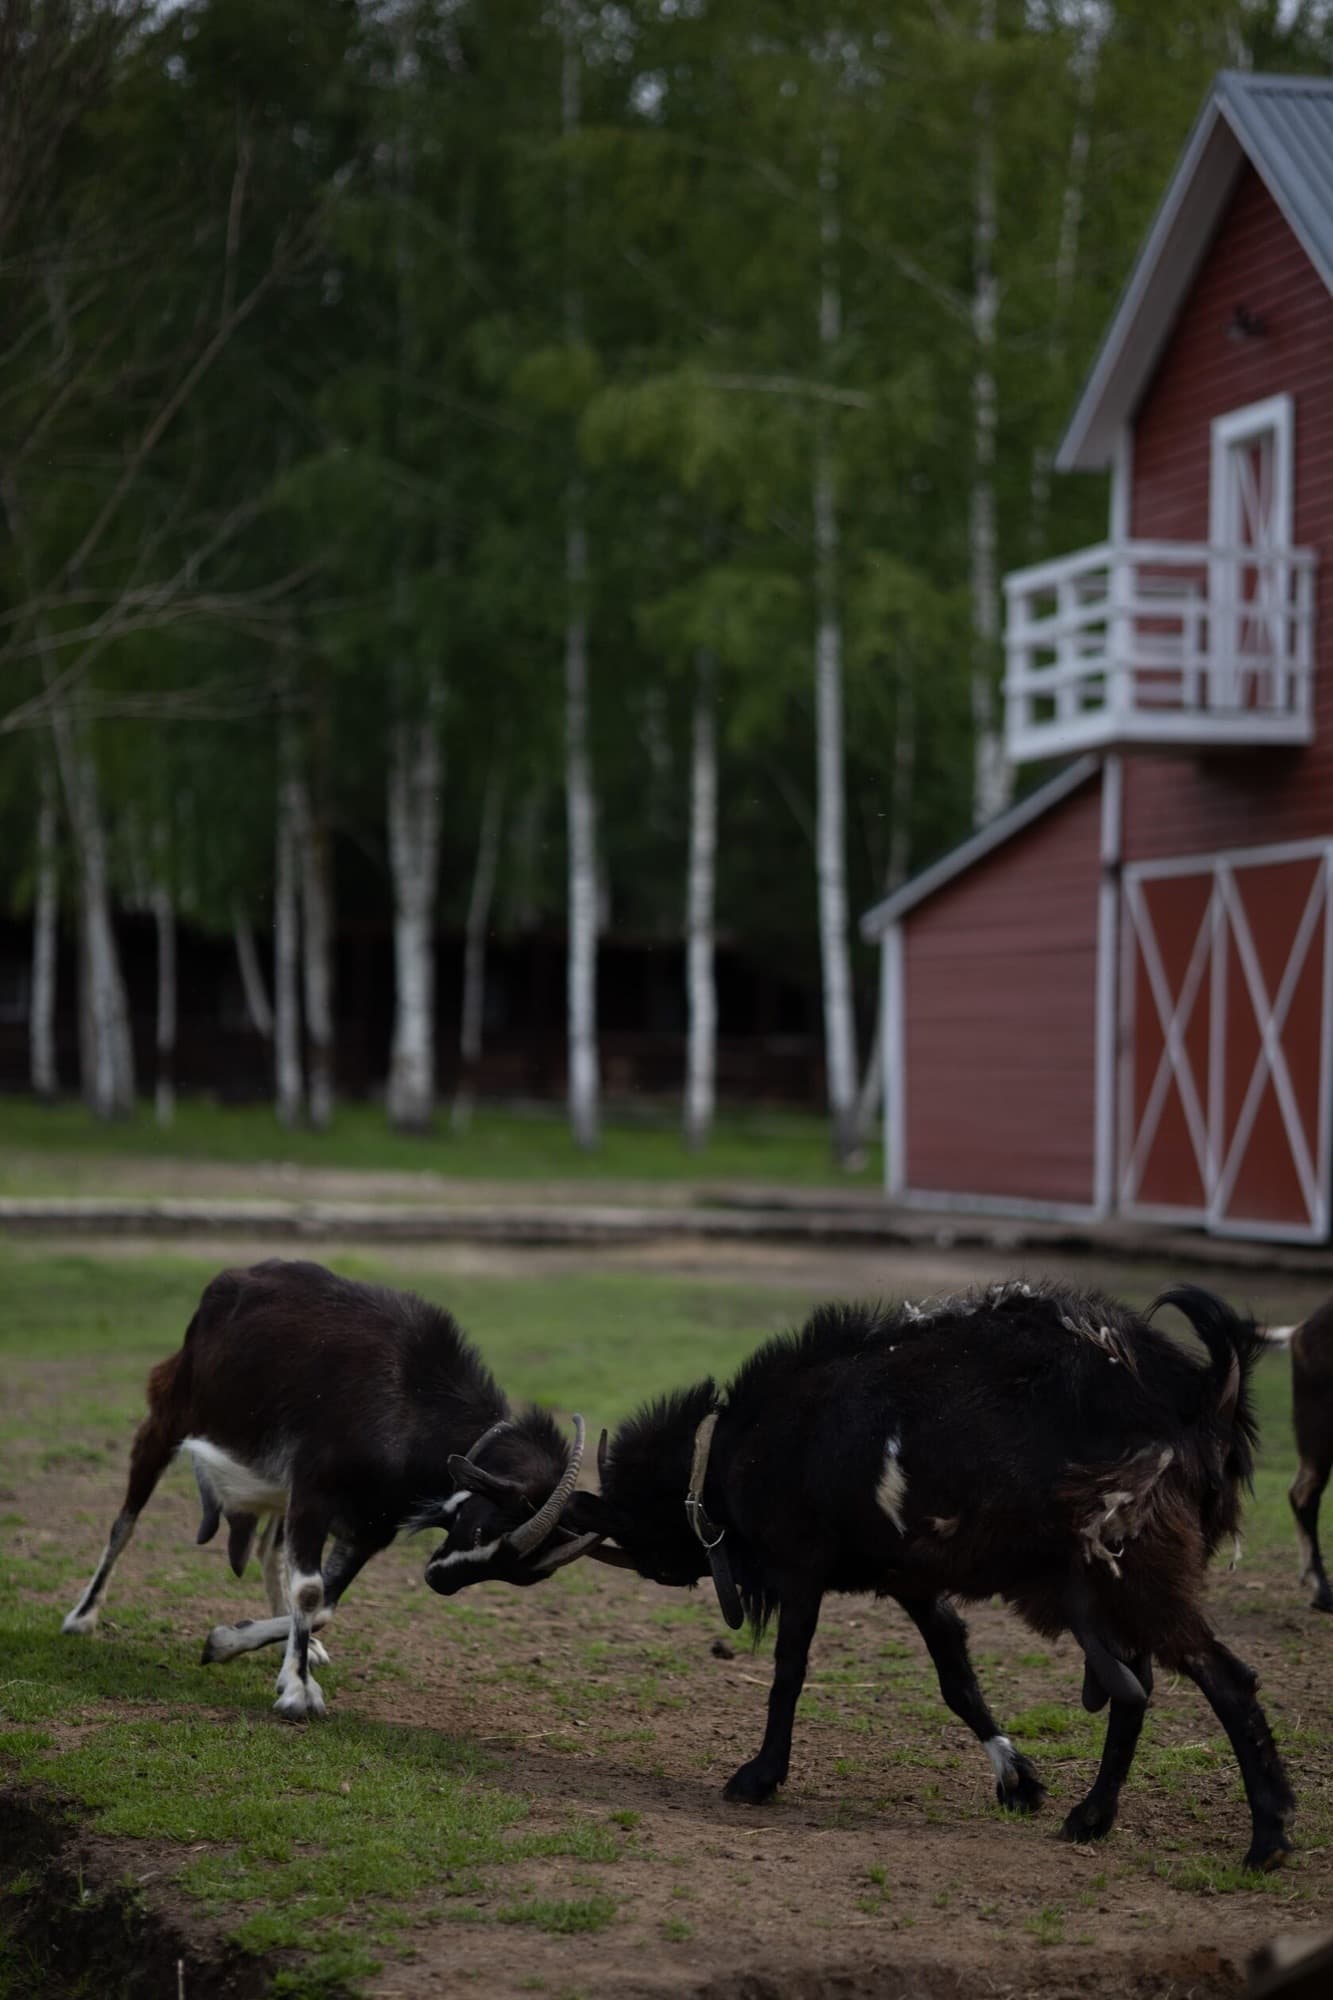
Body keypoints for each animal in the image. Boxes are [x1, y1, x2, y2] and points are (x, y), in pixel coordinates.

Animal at [62, 1259, 592, 1718]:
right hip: (170, 1413)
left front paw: (231, 1643)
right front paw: (298, 1691)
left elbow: (325, 1605)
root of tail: (232, 1279)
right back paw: (82, 1616)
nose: (437, 1581)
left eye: (519, 1574)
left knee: (270, 1550)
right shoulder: (315, 1492)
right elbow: (312, 1591)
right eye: (483, 1530)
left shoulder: (369, 1526)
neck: (410, 1398)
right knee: (125, 1522)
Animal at [426, 1279, 1293, 1870]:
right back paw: (1089, 1817)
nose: (435, 1575)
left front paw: (758, 1776)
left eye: (489, 1525)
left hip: (1135, 1568)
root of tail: (1202, 1395)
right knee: (1135, 1689)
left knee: (1222, 1678)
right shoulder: (908, 1578)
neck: (726, 1455)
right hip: (1104, 1581)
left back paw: (1269, 1837)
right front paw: (1017, 1780)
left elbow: (787, 1670)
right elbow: (956, 1678)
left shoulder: (800, 1564)